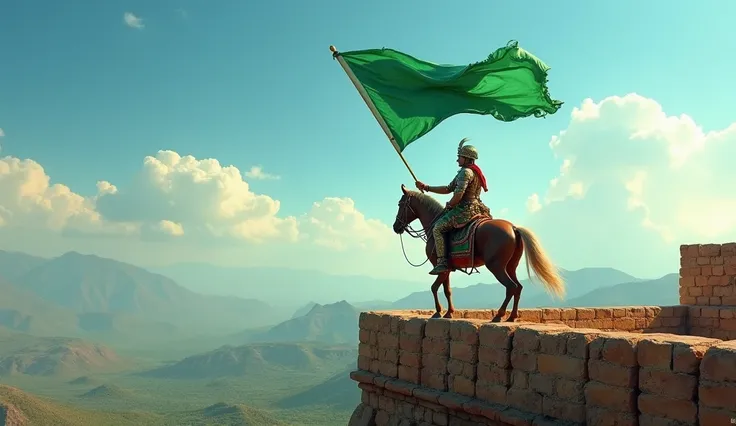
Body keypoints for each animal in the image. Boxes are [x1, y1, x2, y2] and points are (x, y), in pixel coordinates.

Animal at [394, 185, 568, 322]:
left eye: (400, 204)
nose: (396, 227)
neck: (434, 224)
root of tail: (513, 228)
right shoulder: (446, 268)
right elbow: (447, 290)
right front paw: (449, 313)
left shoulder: (439, 266)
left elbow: (434, 287)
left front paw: (438, 312)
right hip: (510, 266)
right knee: (518, 287)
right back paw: (512, 317)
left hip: (496, 266)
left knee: (511, 287)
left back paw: (499, 315)